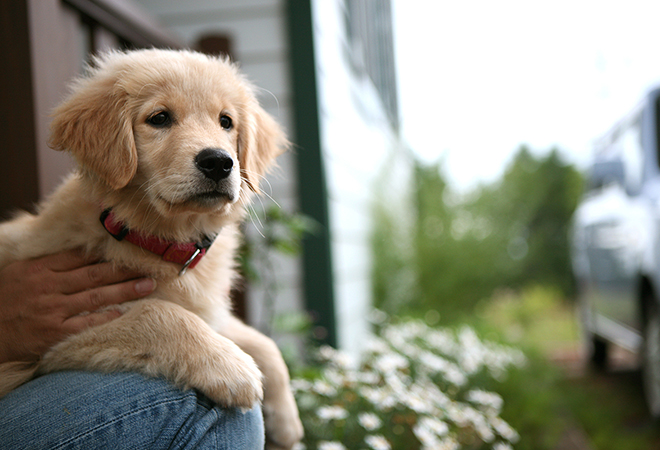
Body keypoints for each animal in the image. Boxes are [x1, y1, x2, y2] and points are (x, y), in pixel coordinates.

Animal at [0, 49, 302, 450]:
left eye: (226, 121)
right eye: (159, 118)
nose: (219, 162)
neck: (159, 237)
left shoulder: (208, 309)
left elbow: (262, 341)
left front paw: (286, 418)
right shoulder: (58, 331)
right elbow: (157, 312)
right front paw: (232, 368)